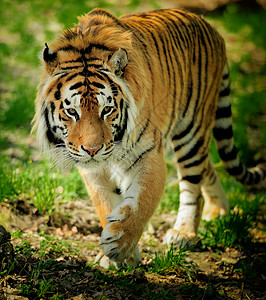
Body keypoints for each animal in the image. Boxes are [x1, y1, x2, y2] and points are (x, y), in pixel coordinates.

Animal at [32, 8, 264, 268]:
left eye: (107, 110)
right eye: (72, 112)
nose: (93, 150)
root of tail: (212, 28)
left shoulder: (148, 155)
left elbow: (141, 202)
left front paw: (120, 244)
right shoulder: (93, 171)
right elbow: (106, 204)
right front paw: (116, 256)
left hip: (192, 131)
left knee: (193, 183)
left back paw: (184, 233)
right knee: (208, 167)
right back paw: (218, 211)